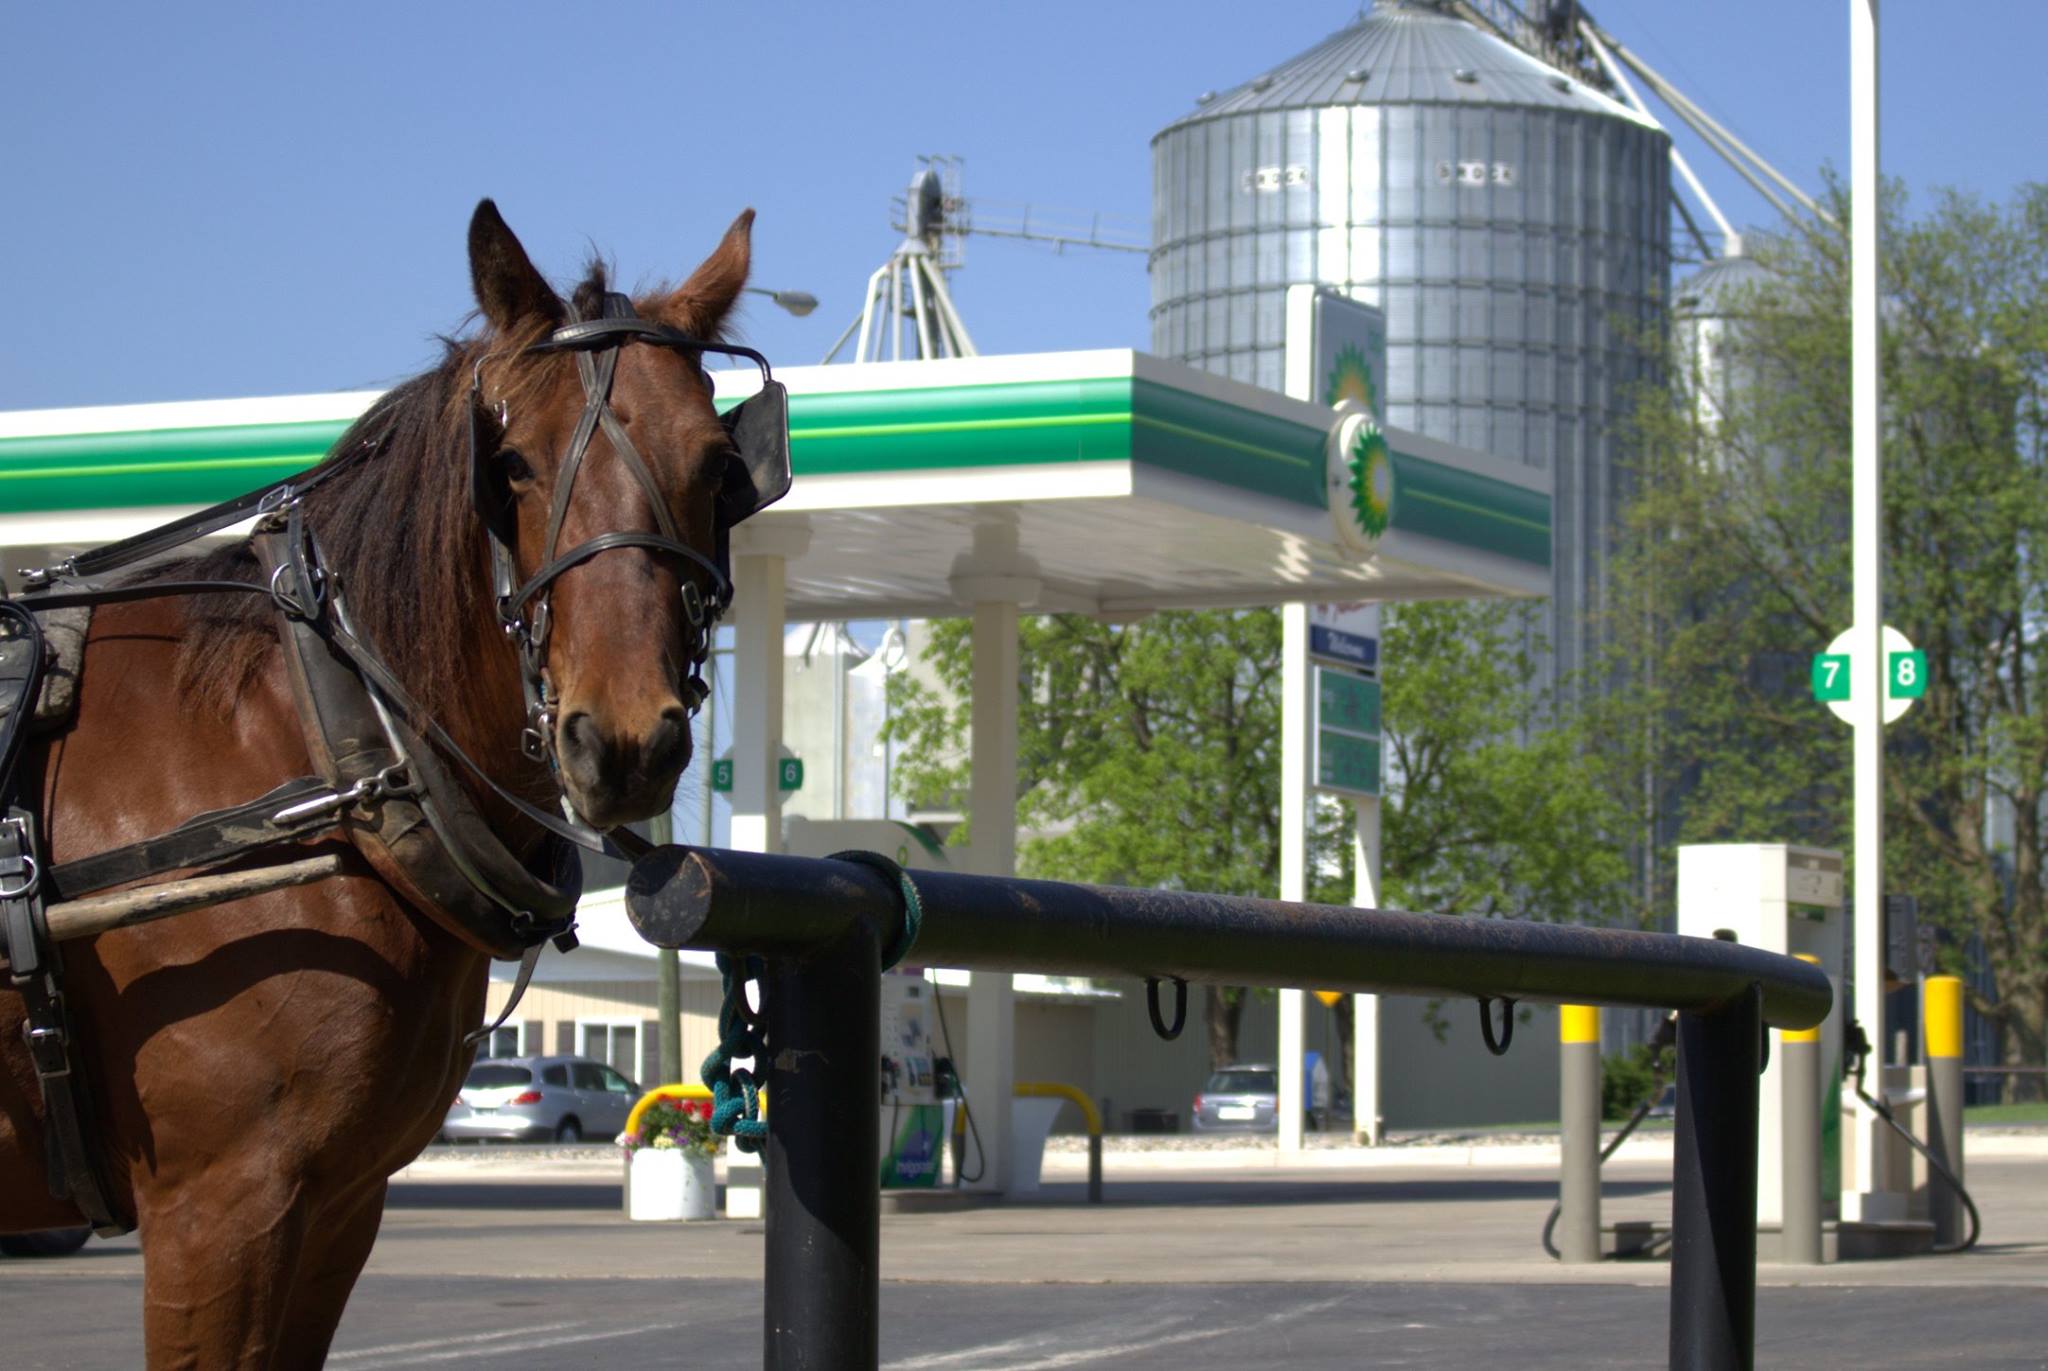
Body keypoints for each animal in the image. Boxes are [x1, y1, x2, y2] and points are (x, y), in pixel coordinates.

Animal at [0, 197, 761, 1360]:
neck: (327, 749)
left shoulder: (339, 1201)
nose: (626, 741)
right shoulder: (216, 1207)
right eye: (513, 465)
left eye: (721, 465)